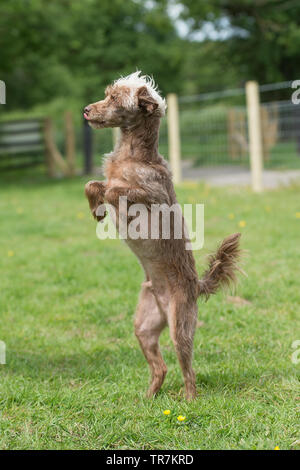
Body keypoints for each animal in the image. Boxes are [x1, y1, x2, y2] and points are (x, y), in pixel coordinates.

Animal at [84, 72, 241, 400]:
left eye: (115, 98)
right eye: (107, 94)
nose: (86, 110)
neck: (132, 155)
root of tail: (197, 286)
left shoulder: (152, 195)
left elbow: (115, 189)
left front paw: (107, 201)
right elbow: (93, 183)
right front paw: (96, 208)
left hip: (179, 326)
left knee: (188, 373)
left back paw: (189, 402)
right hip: (144, 327)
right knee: (162, 368)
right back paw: (148, 398)